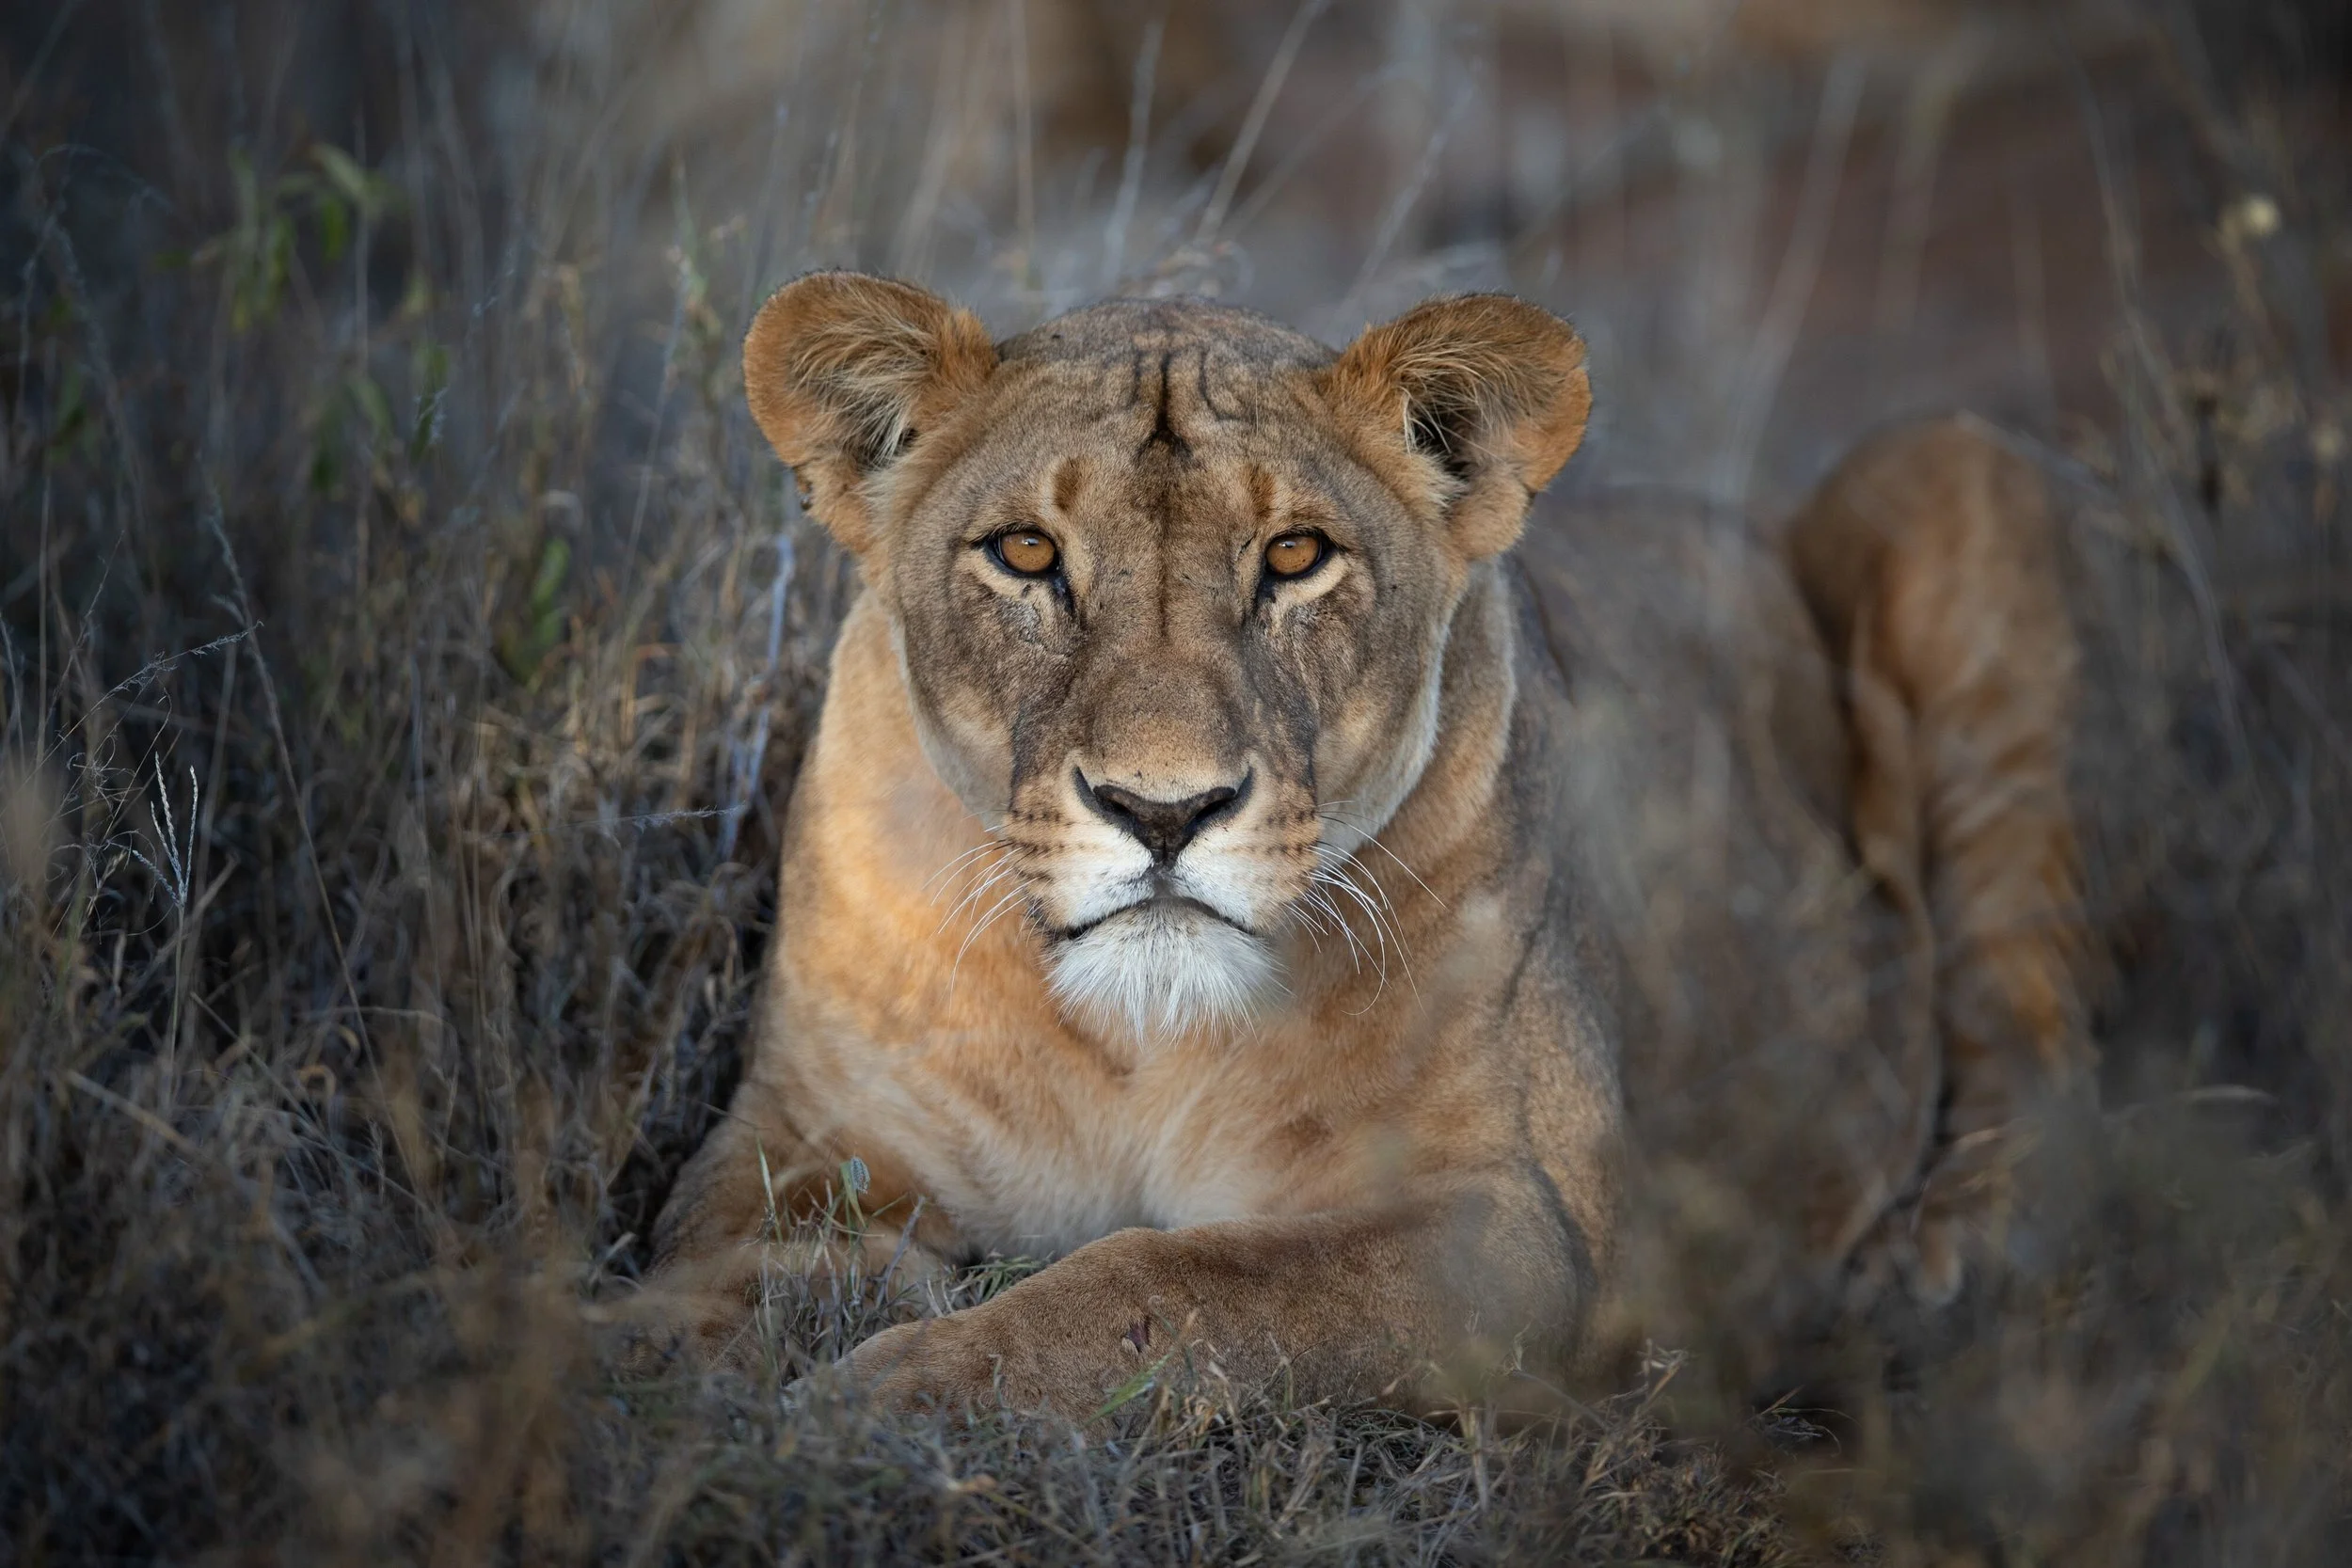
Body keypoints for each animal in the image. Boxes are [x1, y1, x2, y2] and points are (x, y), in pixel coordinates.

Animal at [638, 271, 2093, 1416]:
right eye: (1026, 552)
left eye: (1295, 557)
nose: (1161, 809)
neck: (1136, 1037)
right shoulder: (799, 1134)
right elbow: (723, 1269)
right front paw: (652, 1363)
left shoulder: (1519, 1228)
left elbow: (1174, 1281)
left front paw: (908, 1386)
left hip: (1954, 467)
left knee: (2028, 1047)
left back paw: (1921, 1272)